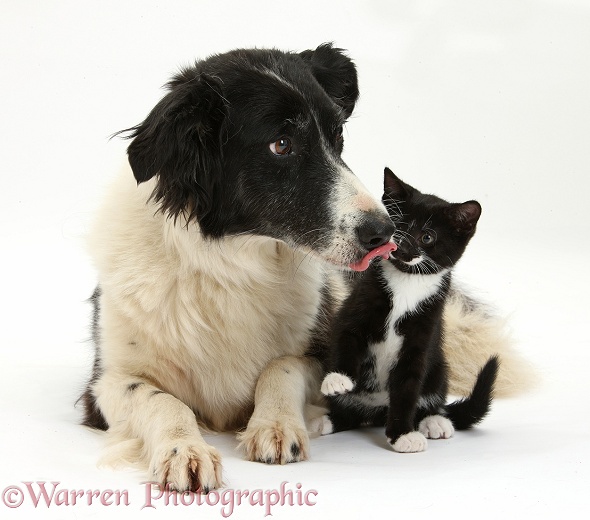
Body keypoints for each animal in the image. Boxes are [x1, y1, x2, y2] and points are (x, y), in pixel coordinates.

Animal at [320, 170, 500, 450]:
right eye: (398, 227)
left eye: (427, 237)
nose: (402, 247)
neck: (406, 283)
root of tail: (378, 411)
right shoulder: (356, 306)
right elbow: (346, 338)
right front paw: (337, 378)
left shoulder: (423, 333)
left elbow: (407, 387)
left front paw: (403, 434)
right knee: (351, 415)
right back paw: (324, 421)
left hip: (439, 367)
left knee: (432, 399)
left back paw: (435, 422)